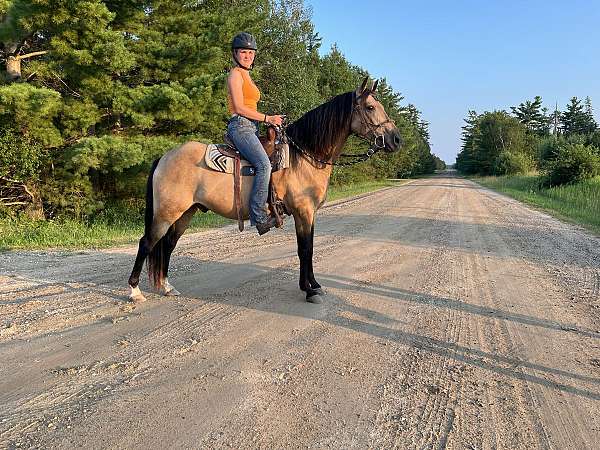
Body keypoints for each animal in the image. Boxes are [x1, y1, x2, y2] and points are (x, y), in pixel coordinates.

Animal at [127, 77, 400, 304]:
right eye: (370, 107)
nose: (396, 140)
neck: (305, 156)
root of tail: (164, 157)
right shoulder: (303, 211)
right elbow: (305, 249)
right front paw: (309, 290)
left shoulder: (309, 213)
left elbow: (308, 248)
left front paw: (313, 285)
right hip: (167, 213)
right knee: (147, 243)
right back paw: (135, 291)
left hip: (186, 212)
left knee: (168, 244)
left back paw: (166, 287)